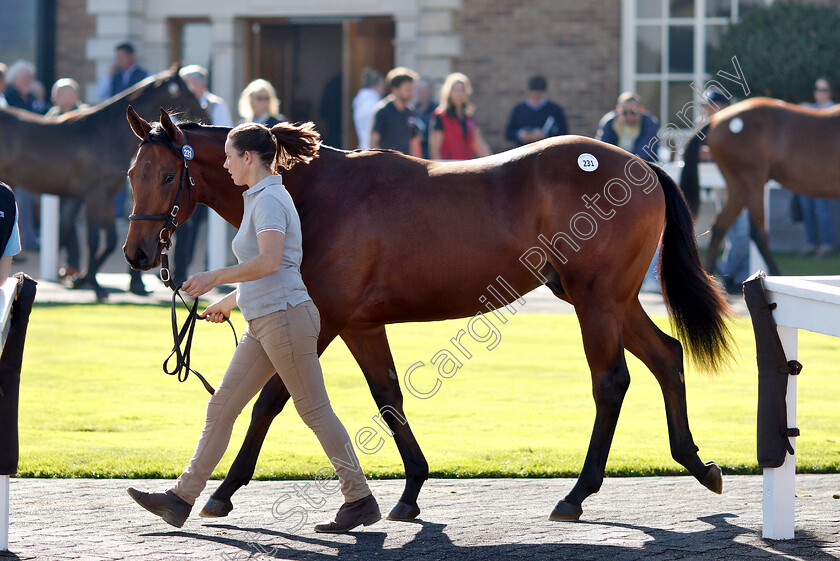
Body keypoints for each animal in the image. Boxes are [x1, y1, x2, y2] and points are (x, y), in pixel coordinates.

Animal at [0, 65, 205, 298]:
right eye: (185, 89)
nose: (205, 111)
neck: (105, 134)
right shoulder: (94, 195)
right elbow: (93, 240)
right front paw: (93, 284)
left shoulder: (108, 196)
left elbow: (111, 241)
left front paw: (83, 279)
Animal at [121, 108, 732, 520]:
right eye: (132, 173)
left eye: (169, 176)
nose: (138, 254)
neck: (315, 193)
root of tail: (642, 167)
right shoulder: (361, 323)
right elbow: (387, 397)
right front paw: (411, 490)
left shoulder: (325, 316)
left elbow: (273, 400)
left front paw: (224, 492)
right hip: (613, 300)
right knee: (666, 356)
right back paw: (699, 464)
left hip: (597, 301)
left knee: (610, 382)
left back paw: (577, 494)